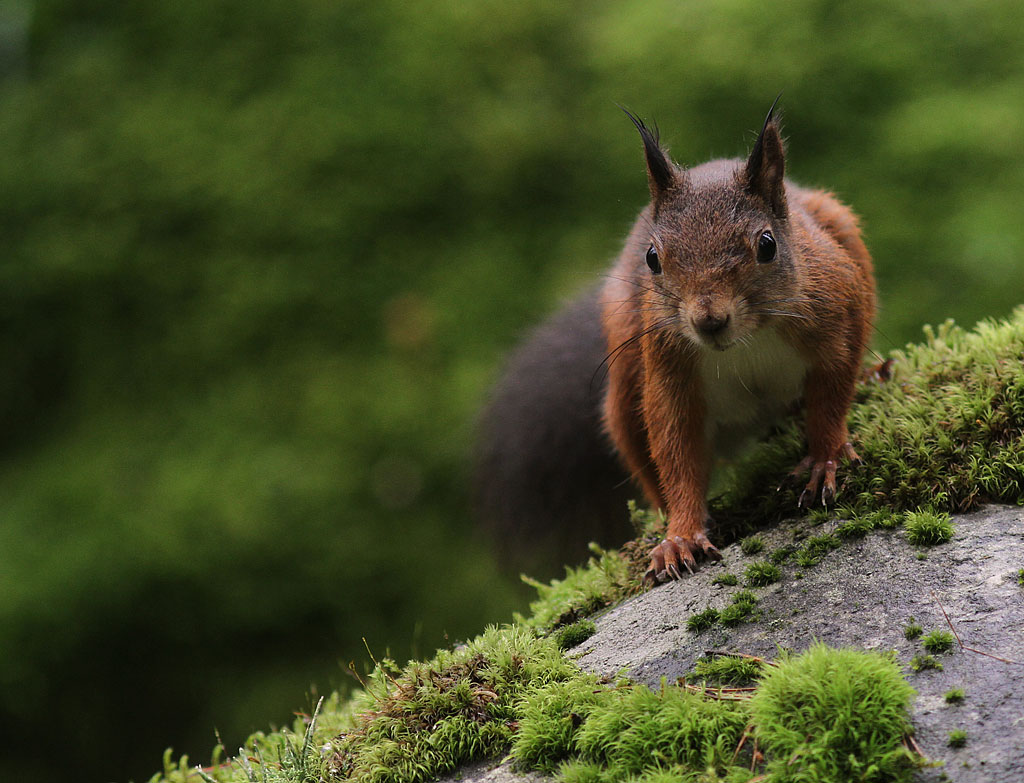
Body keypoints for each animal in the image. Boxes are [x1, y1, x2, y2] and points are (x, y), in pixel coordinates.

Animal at [475, 103, 876, 585]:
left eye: (767, 245)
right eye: (652, 258)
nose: (709, 321)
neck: (747, 341)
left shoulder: (835, 321)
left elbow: (833, 396)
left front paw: (825, 458)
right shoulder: (670, 370)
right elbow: (676, 449)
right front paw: (681, 535)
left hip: (842, 228)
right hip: (625, 376)